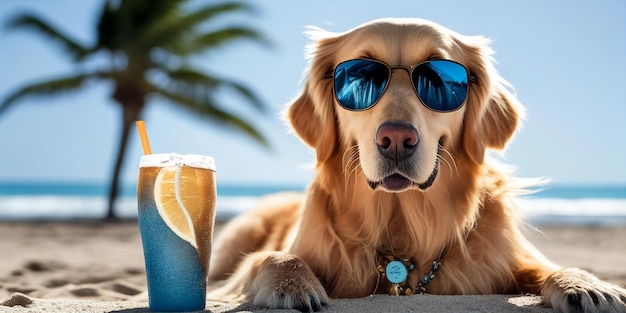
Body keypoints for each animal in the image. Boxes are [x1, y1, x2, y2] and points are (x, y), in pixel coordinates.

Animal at [206, 18, 624, 310]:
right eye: (358, 76)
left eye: (439, 78)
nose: (396, 139)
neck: (402, 222)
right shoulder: (258, 262)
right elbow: (272, 256)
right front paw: (292, 285)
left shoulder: (512, 258)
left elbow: (551, 266)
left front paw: (586, 284)